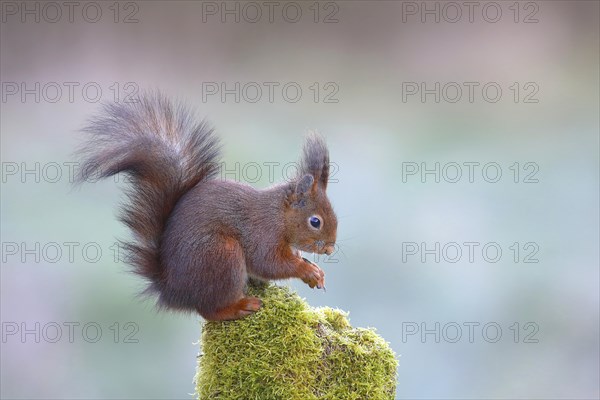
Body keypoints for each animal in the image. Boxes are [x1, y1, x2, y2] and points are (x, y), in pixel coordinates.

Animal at [75, 92, 338, 320]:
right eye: (315, 221)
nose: (329, 249)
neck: (279, 215)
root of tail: (172, 291)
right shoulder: (263, 234)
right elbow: (270, 264)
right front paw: (306, 270)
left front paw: (313, 270)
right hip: (222, 255)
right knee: (209, 311)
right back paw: (239, 306)